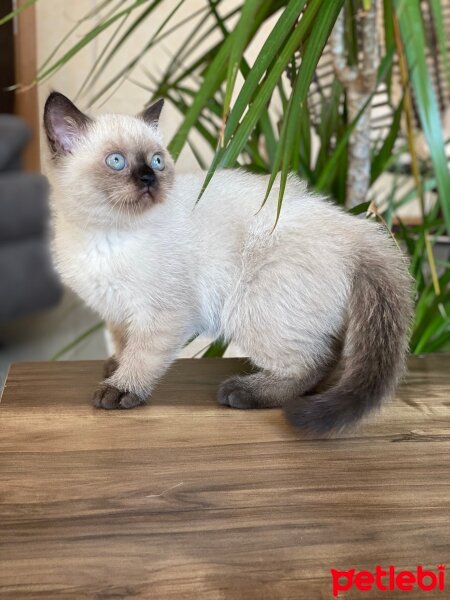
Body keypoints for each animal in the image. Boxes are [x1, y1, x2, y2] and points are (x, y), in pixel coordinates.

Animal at [44, 91, 414, 434]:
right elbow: (125, 343)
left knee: (314, 363)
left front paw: (120, 388)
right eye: (117, 161)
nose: (149, 178)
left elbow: (143, 356)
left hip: (250, 306)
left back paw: (243, 392)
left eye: (158, 161)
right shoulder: (118, 311)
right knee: (332, 357)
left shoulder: (163, 315)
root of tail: (355, 228)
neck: (103, 233)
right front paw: (115, 366)